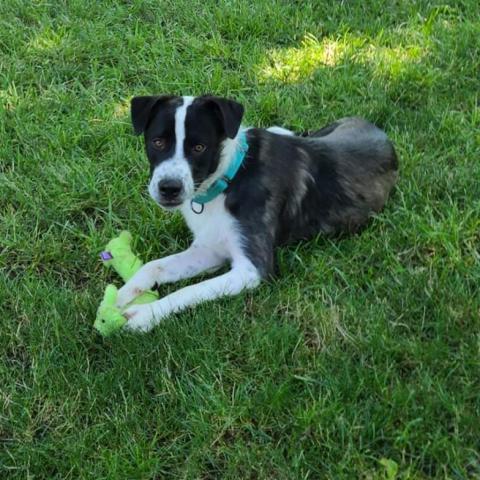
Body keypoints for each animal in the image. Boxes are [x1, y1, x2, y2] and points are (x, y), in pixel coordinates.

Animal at [116, 95, 398, 332]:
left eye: (199, 147)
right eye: (157, 142)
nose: (169, 188)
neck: (228, 178)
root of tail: (374, 127)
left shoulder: (252, 269)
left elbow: (191, 290)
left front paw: (145, 314)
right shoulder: (209, 249)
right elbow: (154, 266)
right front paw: (121, 296)